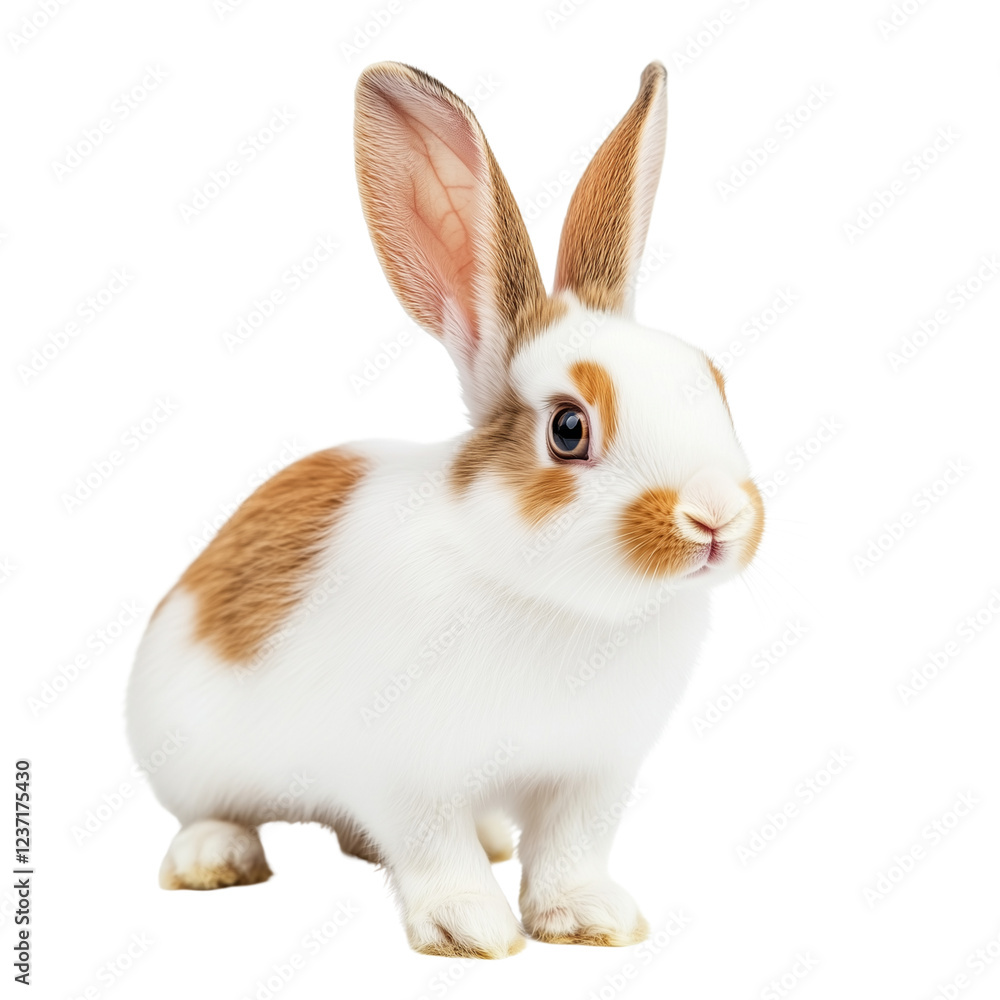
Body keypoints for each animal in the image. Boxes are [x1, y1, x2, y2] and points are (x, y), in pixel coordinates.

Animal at [125, 59, 764, 959]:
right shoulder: (404, 771)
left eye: (712, 380)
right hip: (188, 751)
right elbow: (433, 849)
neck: (556, 602)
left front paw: (589, 919)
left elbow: (569, 850)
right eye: (569, 428)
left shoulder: (592, 774)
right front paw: (471, 930)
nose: (716, 518)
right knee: (210, 812)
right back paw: (215, 860)